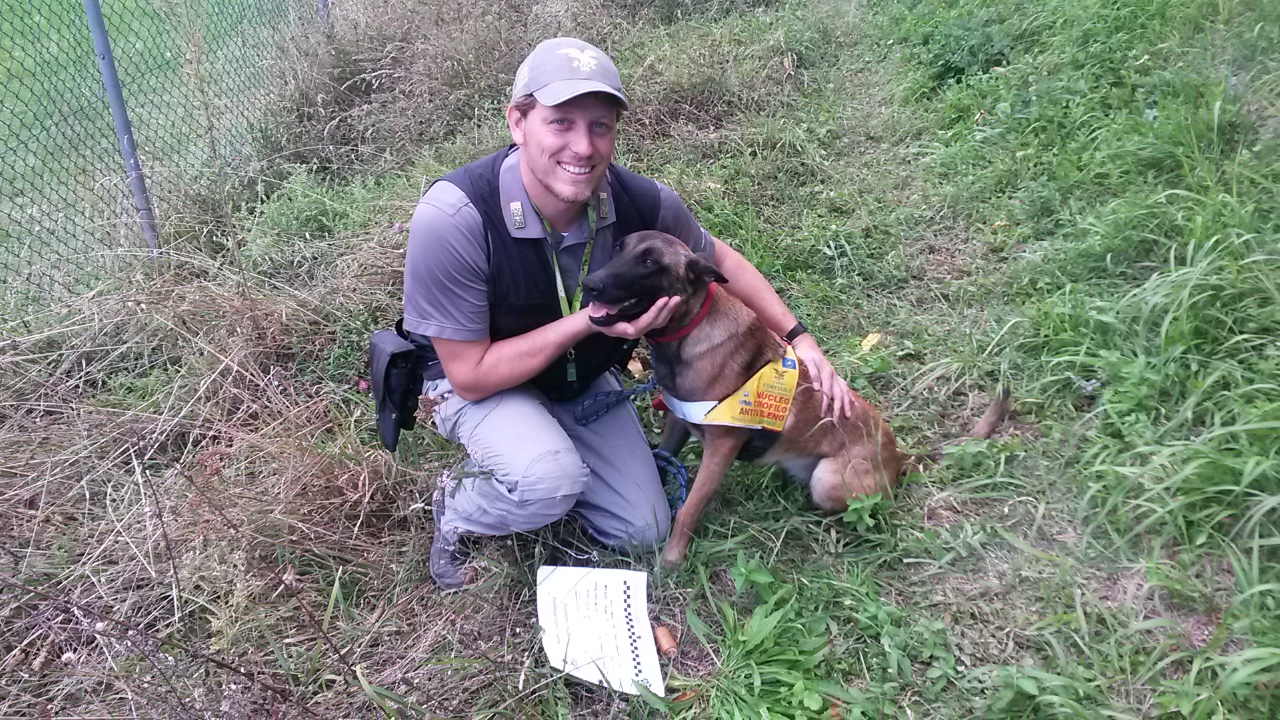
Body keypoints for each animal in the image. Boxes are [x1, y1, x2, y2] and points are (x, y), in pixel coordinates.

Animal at [583, 226, 1008, 563]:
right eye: (618, 247)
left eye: (649, 261)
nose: (590, 284)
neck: (688, 333)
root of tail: (898, 455)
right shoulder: (678, 419)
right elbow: (662, 458)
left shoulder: (721, 446)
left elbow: (690, 508)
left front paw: (672, 559)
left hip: (828, 480)